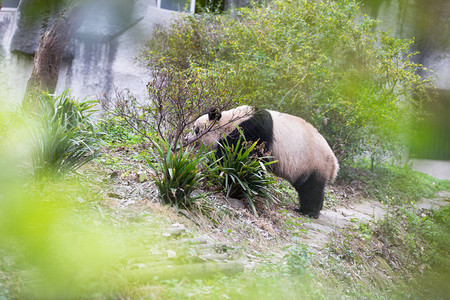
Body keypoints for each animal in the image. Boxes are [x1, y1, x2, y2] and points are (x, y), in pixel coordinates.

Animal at [186, 105, 338, 218]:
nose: (186, 138)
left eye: (196, 129)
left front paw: (211, 173)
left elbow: (240, 157)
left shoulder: (252, 131)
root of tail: (334, 163)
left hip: (314, 162)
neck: (231, 121)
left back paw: (308, 211)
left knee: (311, 188)